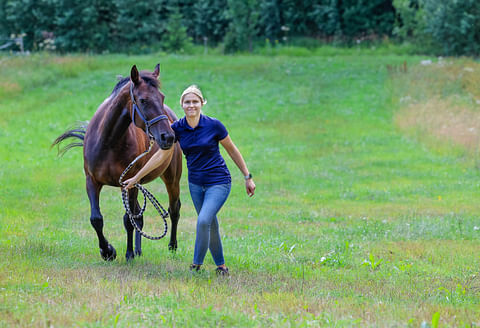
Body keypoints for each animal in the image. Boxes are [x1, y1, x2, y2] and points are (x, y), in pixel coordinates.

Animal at [53, 64, 182, 262]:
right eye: (143, 100)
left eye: (162, 97)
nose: (168, 137)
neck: (108, 141)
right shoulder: (92, 181)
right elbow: (96, 218)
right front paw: (108, 251)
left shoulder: (130, 184)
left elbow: (128, 220)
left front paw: (127, 254)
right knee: (140, 216)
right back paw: (138, 250)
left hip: (171, 178)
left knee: (173, 210)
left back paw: (171, 246)